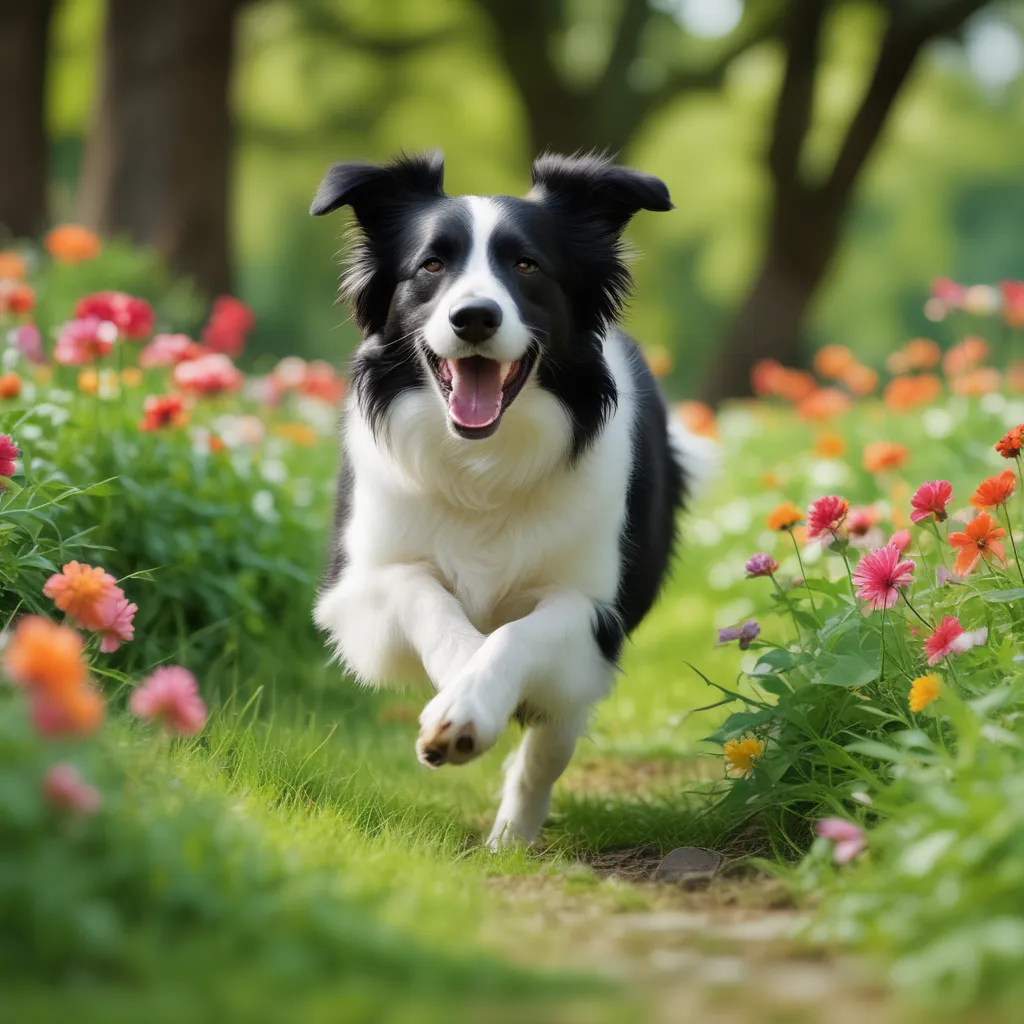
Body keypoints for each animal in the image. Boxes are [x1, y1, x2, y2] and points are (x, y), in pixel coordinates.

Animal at [311, 149, 696, 847]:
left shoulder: (595, 613)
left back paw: (512, 836)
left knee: (551, 744)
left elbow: (521, 636)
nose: (475, 317)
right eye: (431, 266)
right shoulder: (358, 588)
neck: (481, 467)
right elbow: (428, 598)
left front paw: (469, 709)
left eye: (527, 266)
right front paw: (461, 695)